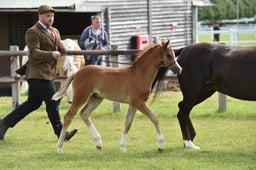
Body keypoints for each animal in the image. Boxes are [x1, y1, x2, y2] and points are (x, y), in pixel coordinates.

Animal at [52, 40, 181, 153]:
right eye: (169, 55)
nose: (179, 69)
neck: (139, 74)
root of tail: (77, 73)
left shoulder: (133, 104)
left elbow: (128, 123)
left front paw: (123, 147)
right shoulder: (139, 102)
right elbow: (154, 118)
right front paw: (161, 146)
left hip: (96, 98)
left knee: (84, 113)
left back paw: (98, 143)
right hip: (81, 97)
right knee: (68, 116)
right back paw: (59, 147)